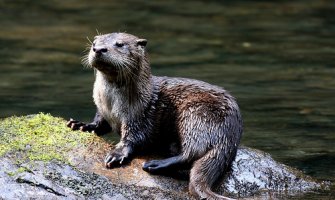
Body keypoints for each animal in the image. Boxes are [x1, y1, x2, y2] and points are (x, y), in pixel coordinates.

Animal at [67, 32, 243, 199]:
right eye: (94, 43)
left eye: (120, 44)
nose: (98, 49)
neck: (112, 105)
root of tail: (229, 135)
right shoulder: (102, 109)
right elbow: (100, 123)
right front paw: (82, 125)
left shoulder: (139, 115)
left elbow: (135, 137)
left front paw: (117, 154)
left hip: (196, 115)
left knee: (192, 152)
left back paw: (155, 164)